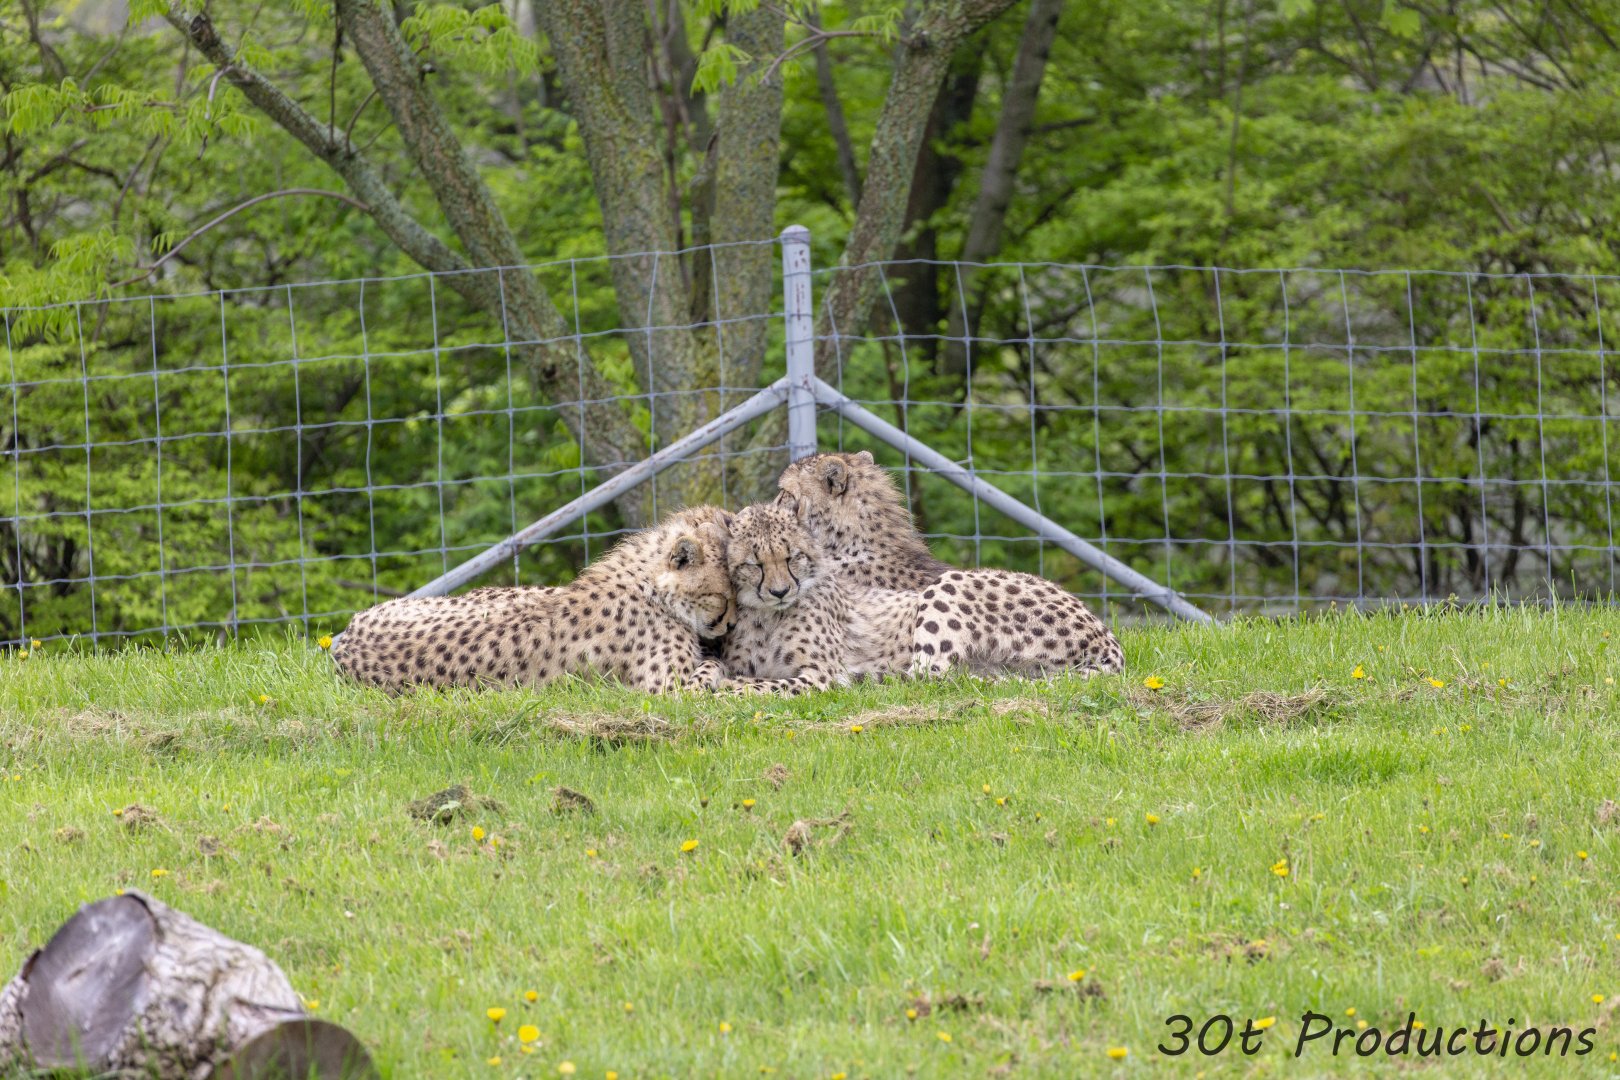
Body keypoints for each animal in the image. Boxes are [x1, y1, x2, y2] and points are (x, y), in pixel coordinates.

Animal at [331, 506, 736, 693]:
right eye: (724, 595)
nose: (730, 624)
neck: (648, 584)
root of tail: (347, 637)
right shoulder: (664, 689)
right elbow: (707, 672)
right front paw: (721, 669)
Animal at [718, 501, 1123, 694]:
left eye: (791, 557)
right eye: (754, 563)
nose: (780, 591)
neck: (767, 617)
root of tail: (1110, 642)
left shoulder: (822, 677)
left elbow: (763, 685)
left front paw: (720, 689)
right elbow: (745, 677)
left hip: (950, 583)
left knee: (930, 676)